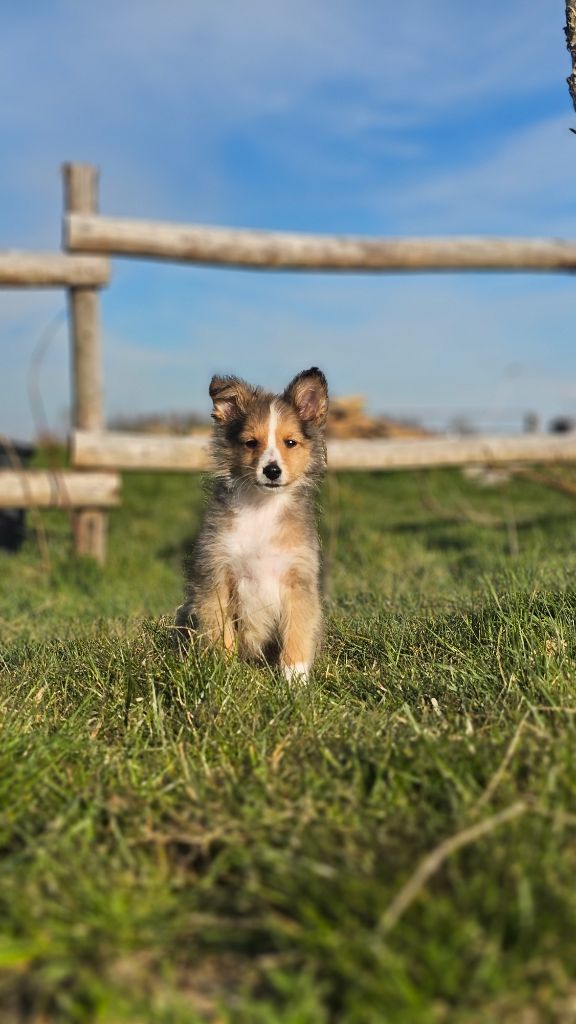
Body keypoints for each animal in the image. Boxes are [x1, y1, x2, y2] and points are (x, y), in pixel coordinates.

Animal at [175, 368, 327, 679]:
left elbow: (297, 632)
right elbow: (220, 631)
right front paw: (224, 674)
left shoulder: (299, 579)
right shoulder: (216, 575)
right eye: (251, 443)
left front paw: (295, 679)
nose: (272, 471)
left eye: (290, 442)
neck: (261, 508)